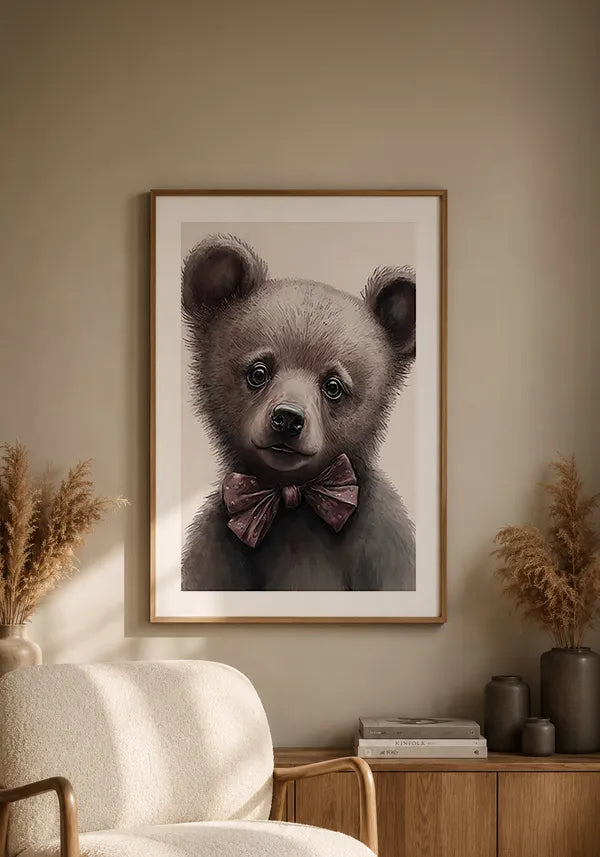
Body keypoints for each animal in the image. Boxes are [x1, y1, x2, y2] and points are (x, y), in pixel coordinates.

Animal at [181, 234, 416, 591]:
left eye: (334, 386)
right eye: (258, 372)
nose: (288, 419)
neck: (292, 501)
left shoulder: (384, 548)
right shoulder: (215, 556)